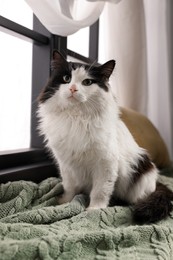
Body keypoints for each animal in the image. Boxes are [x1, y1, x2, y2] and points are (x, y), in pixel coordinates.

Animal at [36, 50, 173, 223]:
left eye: (87, 82)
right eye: (67, 78)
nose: (73, 89)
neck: (76, 118)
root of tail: (156, 182)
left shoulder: (105, 163)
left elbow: (100, 190)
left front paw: (95, 209)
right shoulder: (66, 163)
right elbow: (69, 187)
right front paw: (65, 202)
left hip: (141, 172)